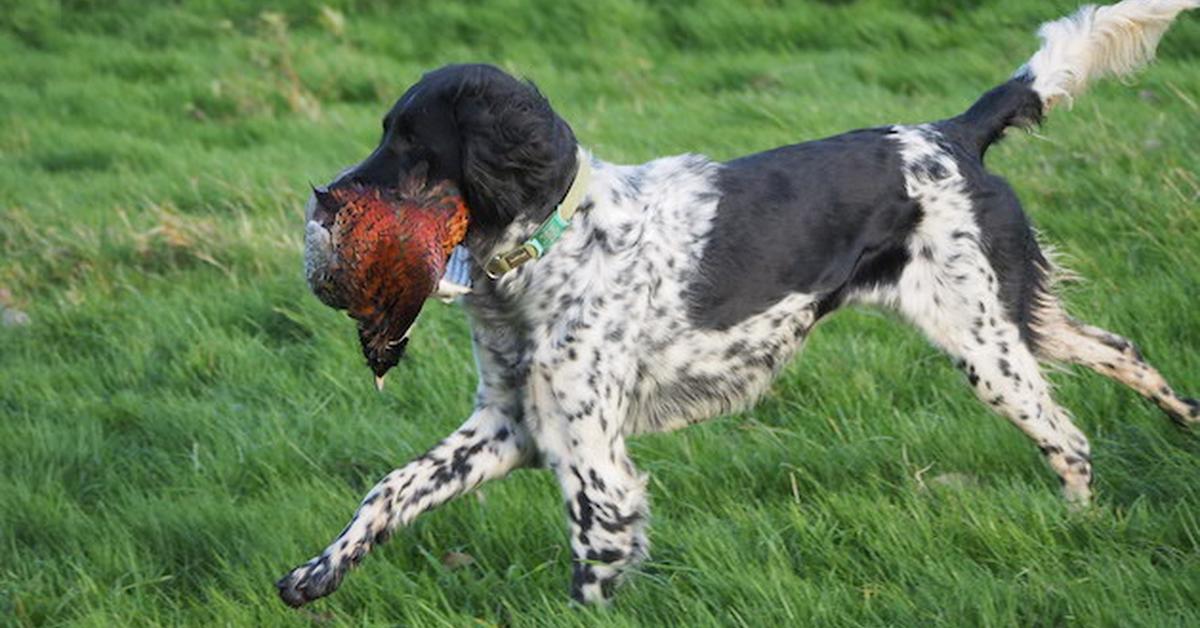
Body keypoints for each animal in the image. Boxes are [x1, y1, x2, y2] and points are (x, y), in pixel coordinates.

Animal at [276, 1, 1195, 609]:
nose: (326, 199)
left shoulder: (591, 459)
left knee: (1069, 436)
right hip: (1018, 318)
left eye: (408, 142)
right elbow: (390, 490)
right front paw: (312, 575)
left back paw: (1082, 526)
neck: (550, 250)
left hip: (986, 341)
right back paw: (1180, 432)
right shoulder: (510, 424)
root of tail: (952, 133)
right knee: (1122, 353)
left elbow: (591, 564)